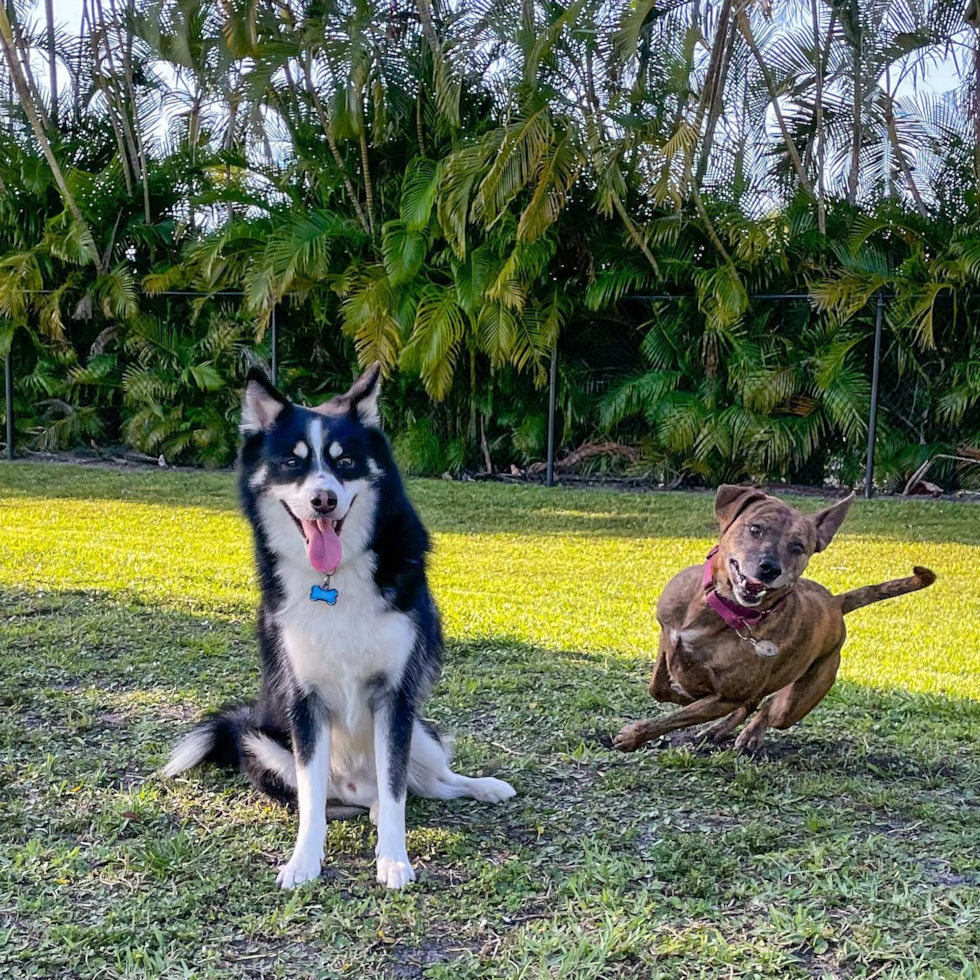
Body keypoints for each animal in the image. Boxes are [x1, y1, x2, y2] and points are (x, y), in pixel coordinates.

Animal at [163, 366, 512, 888]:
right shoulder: (305, 703)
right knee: (335, 800)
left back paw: (483, 787)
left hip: (421, 736)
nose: (323, 500)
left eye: (344, 461)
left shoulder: (395, 697)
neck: (334, 579)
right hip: (260, 741)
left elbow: (396, 794)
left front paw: (394, 859)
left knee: (431, 785)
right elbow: (310, 804)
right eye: (292, 462)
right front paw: (304, 861)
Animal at [612, 486, 936, 756]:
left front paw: (633, 735)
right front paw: (684, 695)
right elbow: (658, 687)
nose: (769, 567)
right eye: (756, 528)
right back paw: (715, 731)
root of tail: (835, 602)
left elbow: (679, 715)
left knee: (768, 708)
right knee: (750, 706)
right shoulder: (668, 635)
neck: (722, 612)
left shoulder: (728, 695)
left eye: (798, 546)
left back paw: (750, 734)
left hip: (800, 698)